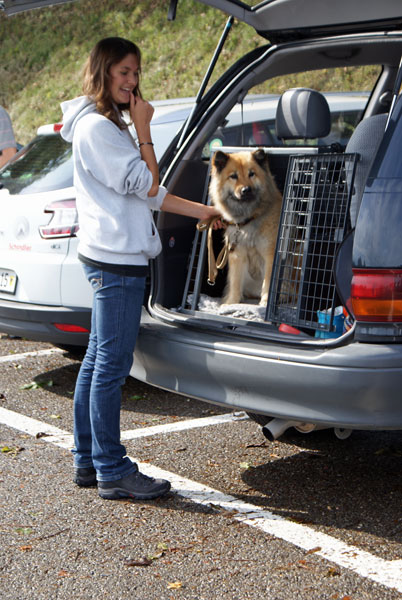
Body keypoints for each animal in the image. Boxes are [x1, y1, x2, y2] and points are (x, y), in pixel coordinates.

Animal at [209, 147, 282, 304]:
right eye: (233, 176)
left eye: (251, 174)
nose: (246, 190)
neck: (250, 217)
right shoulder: (237, 253)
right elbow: (236, 281)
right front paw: (231, 303)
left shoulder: (270, 253)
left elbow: (268, 282)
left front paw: (265, 303)